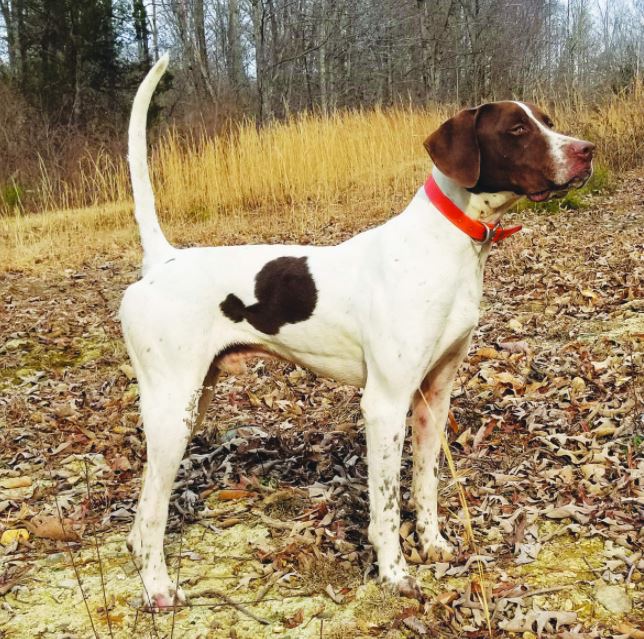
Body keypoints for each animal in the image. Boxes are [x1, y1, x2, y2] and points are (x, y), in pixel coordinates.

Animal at [119, 52, 592, 608]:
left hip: (190, 404)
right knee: (147, 519)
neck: (445, 244)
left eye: (548, 120)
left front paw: (432, 545)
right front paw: (394, 574)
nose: (587, 151)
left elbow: (425, 485)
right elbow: (384, 505)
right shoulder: (384, 403)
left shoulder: (434, 398)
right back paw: (158, 590)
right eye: (517, 129)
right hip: (173, 412)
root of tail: (162, 260)